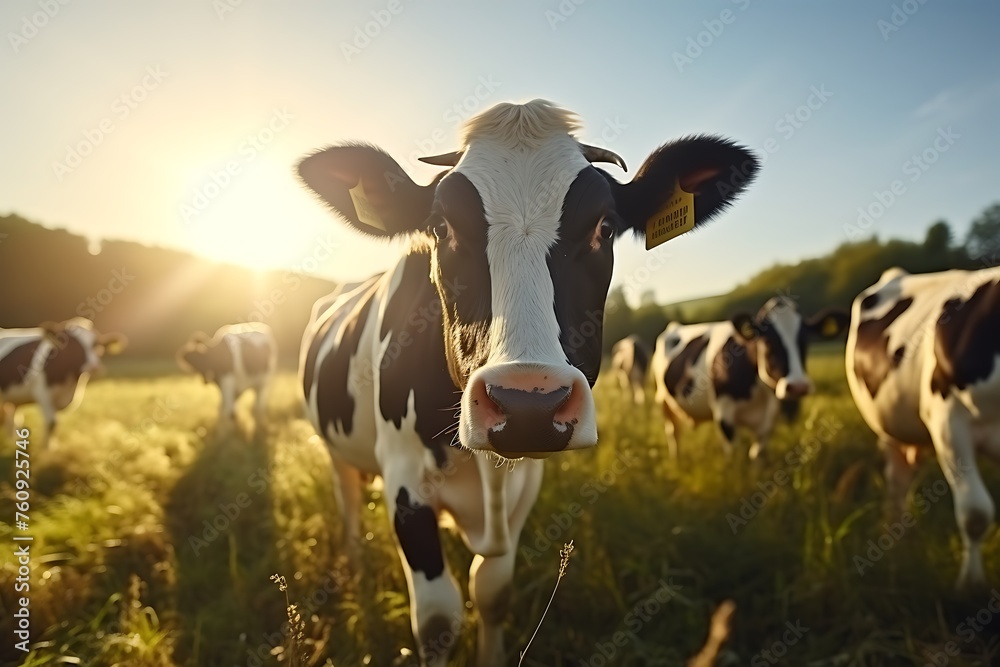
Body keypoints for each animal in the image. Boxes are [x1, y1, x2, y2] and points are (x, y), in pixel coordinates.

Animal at [0, 318, 129, 448]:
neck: (69, 384)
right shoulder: (43, 394)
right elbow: (52, 423)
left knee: (13, 420)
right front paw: (47, 450)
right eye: (73, 345)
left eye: (97, 345)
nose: (94, 367)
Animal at [294, 99, 756, 667]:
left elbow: (493, 591)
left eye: (605, 227)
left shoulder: (523, 489)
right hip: (335, 450)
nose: (526, 403)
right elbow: (438, 619)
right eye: (441, 227)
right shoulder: (404, 477)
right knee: (349, 506)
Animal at [648, 300, 852, 462]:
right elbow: (734, 456)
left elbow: (756, 453)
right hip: (662, 400)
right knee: (673, 433)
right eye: (768, 341)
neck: (760, 393)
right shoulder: (724, 415)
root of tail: (674, 326)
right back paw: (676, 460)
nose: (798, 386)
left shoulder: (769, 419)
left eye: (805, 340)